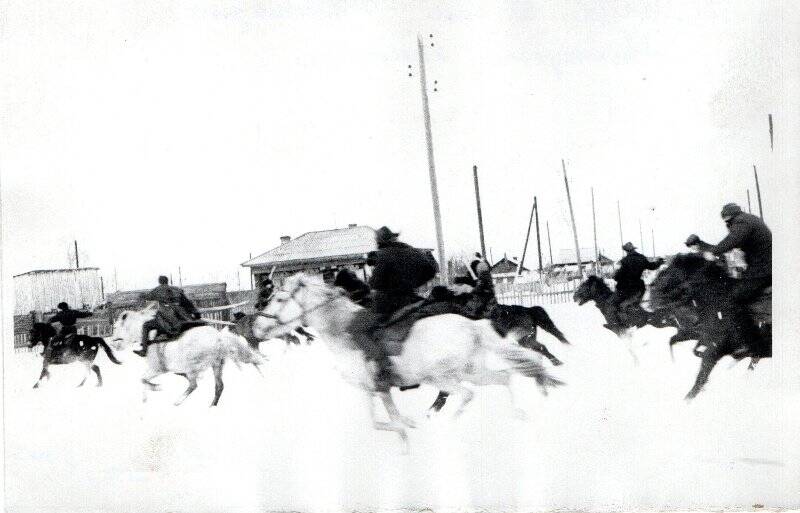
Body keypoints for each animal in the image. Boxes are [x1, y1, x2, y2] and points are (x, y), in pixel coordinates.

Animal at [111, 304, 262, 408]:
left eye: (115, 327)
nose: (113, 344)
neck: (151, 337)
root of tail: (218, 338)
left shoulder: (157, 369)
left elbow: (142, 379)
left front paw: (155, 387)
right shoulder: (175, 369)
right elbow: (143, 381)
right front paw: (145, 399)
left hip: (193, 367)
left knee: (193, 385)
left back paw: (177, 402)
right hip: (217, 365)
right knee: (219, 386)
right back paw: (211, 405)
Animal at [252, 274, 564, 450]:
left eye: (278, 299)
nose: (256, 328)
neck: (342, 332)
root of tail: (471, 325)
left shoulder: (379, 388)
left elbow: (392, 423)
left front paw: (407, 437)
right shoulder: (371, 390)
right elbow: (378, 423)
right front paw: (407, 427)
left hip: (442, 377)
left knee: (466, 394)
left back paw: (450, 426)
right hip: (474, 371)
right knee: (505, 378)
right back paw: (519, 414)